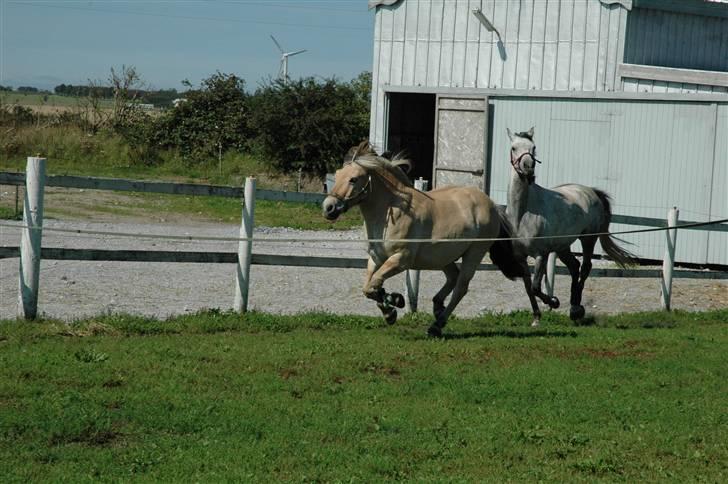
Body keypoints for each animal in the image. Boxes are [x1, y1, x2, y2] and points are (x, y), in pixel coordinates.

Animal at [322, 140, 524, 336]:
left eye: (353, 179)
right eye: (337, 176)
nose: (328, 207)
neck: (391, 211)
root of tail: (492, 205)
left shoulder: (401, 259)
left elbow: (374, 284)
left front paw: (393, 303)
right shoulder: (376, 257)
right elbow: (368, 287)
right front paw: (391, 308)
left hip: (474, 254)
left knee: (461, 287)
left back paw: (437, 325)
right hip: (443, 257)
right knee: (453, 277)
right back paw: (437, 306)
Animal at [504, 127, 636, 326]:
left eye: (533, 147)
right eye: (513, 148)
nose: (528, 169)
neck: (523, 214)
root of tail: (590, 191)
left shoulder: (541, 255)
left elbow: (535, 287)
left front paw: (554, 302)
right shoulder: (521, 257)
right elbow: (528, 288)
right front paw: (536, 318)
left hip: (588, 239)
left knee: (585, 267)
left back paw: (576, 309)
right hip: (563, 246)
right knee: (574, 266)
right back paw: (574, 305)